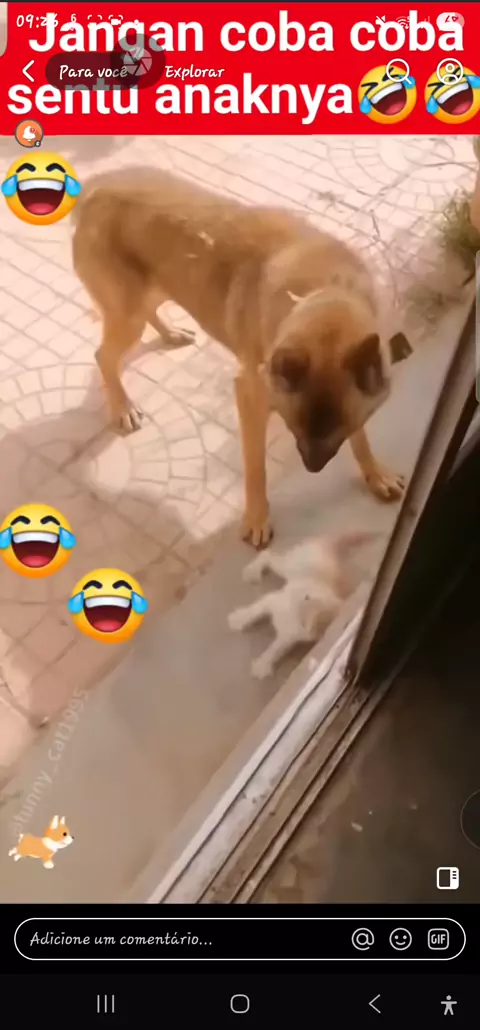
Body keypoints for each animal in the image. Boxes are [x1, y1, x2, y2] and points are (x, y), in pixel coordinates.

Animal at [72, 167, 411, 547]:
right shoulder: (251, 398)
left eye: (340, 428)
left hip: (154, 292)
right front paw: (257, 518)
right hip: (128, 315)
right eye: (294, 426)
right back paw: (123, 407)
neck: (324, 295)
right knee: (103, 356)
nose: (312, 467)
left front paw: (376, 474)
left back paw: (170, 334)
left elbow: (361, 440)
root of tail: (96, 190)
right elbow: (254, 467)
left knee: (145, 317)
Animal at [228, 531, 378, 679]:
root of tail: (327, 546)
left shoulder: (289, 637)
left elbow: (276, 648)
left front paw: (262, 663)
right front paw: (238, 619)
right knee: (267, 554)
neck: (299, 614)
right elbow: (254, 611)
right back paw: (252, 571)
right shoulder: (274, 600)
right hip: (289, 566)